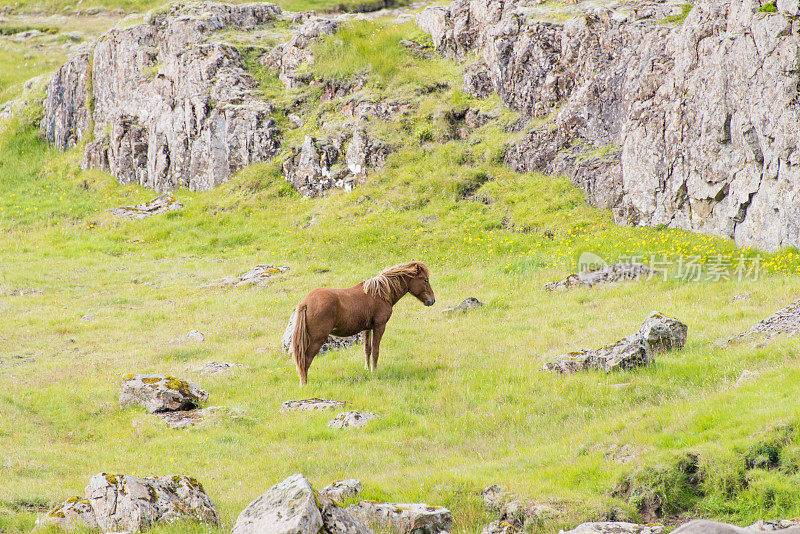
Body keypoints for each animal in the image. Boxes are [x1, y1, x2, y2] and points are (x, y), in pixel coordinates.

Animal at [290, 262, 434, 388]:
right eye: (425, 280)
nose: (432, 300)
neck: (380, 293)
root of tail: (306, 303)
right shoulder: (379, 326)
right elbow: (375, 350)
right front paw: (374, 371)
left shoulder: (366, 329)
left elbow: (367, 350)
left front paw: (367, 368)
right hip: (317, 339)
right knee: (305, 360)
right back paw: (304, 383)